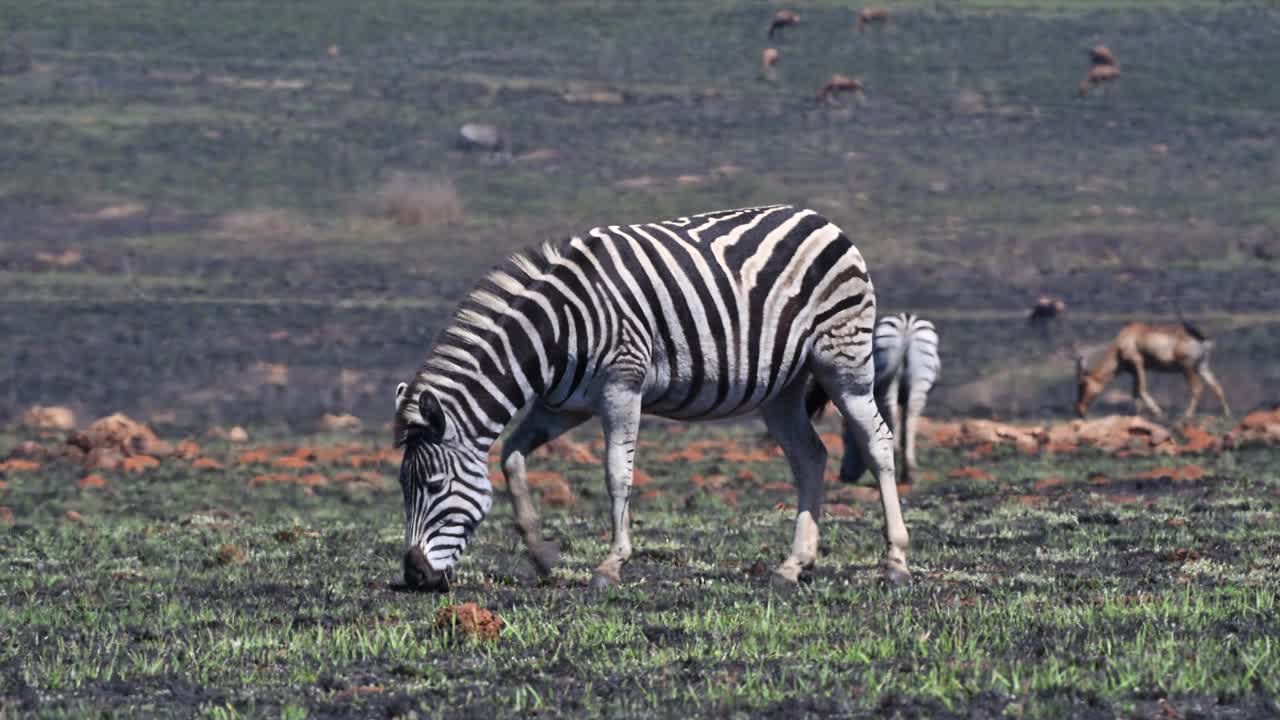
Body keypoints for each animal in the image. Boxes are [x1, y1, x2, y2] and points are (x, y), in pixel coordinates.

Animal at [394, 202, 906, 589]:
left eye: (434, 486)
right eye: (403, 486)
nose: (415, 576)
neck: (555, 331)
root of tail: (819, 218)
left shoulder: (622, 387)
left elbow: (616, 475)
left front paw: (611, 564)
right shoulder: (563, 405)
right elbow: (512, 457)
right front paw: (541, 555)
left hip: (842, 359)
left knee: (878, 442)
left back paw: (895, 563)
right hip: (782, 386)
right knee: (810, 457)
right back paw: (793, 565)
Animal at [870, 312, 942, 481]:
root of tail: (906, 323)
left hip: (890, 378)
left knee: (893, 414)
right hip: (919, 382)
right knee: (910, 421)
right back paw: (909, 471)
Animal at [1080, 317, 1228, 415]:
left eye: (1083, 384)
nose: (1079, 410)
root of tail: (1200, 339)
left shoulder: (1137, 363)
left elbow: (1141, 390)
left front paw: (1158, 412)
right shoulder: (1134, 371)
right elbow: (1135, 392)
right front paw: (1135, 414)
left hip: (1187, 367)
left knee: (1197, 388)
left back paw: (1187, 416)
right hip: (1202, 366)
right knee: (1217, 387)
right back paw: (1227, 413)